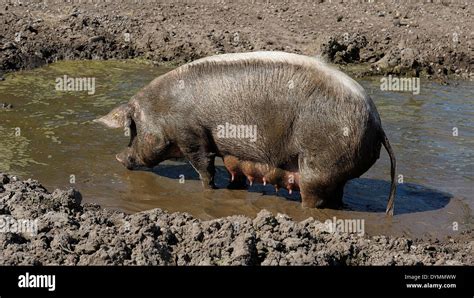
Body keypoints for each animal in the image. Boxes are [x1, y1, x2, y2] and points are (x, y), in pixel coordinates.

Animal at [95, 50, 396, 214]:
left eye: (133, 130)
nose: (118, 158)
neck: (162, 108)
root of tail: (378, 122)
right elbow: (232, 169)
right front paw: (232, 187)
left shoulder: (192, 136)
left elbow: (205, 168)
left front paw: (211, 189)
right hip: (335, 172)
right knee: (338, 195)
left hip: (318, 166)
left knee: (313, 197)